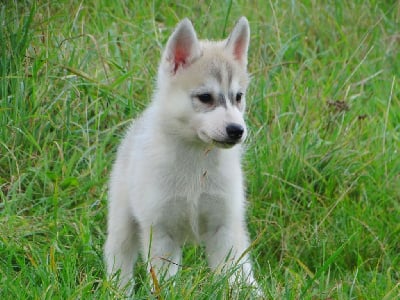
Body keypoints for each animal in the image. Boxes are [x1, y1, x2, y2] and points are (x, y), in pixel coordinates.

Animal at [104, 16, 260, 292]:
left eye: (238, 97)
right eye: (205, 97)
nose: (237, 130)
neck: (197, 162)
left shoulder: (225, 226)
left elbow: (236, 275)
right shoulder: (161, 231)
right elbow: (165, 281)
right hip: (123, 223)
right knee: (118, 259)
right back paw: (119, 292)